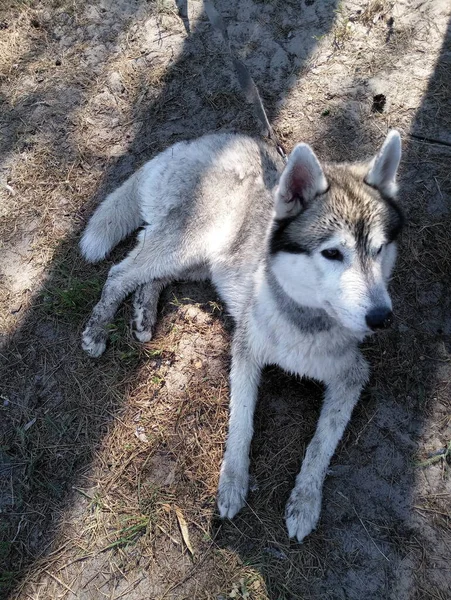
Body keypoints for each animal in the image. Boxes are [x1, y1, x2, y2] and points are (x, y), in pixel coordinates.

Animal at [80, 132, 402, 544]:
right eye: (332, 253)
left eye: (378, 251)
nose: (381, 317)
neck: (303, 319)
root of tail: (200, 141)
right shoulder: (245, 352)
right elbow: (242, 422)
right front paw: (233, 483)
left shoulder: (352, 376)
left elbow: (319, 445)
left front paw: (305, 501)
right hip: (187, 246)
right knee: (120, 272)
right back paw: (98, 328)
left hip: (201, 261)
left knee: (151, 277)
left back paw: (143, 313)